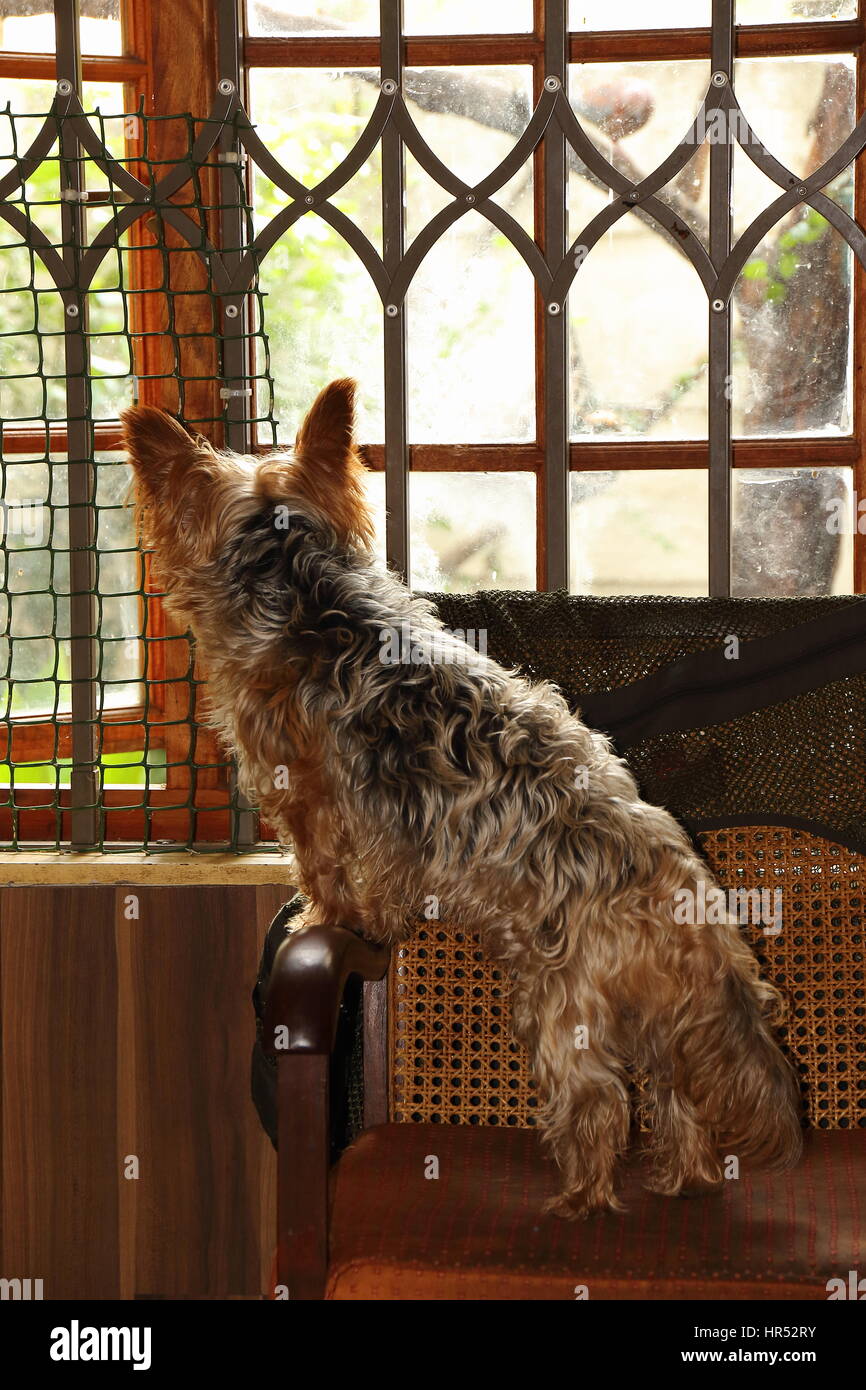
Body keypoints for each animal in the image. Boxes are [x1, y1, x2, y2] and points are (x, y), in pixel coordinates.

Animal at [123, 380, 806, 1217]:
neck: (304, 586)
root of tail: (686, 899)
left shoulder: (312, 798)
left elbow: (329, 873)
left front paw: (324, 919)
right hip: (654, 1010)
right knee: (675, 1096)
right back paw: (684, 1180)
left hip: (563, 999)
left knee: (599, 1101)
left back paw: (580, 1200)